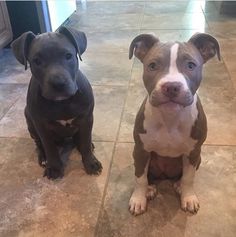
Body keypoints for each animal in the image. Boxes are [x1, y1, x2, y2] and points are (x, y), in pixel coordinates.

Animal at [128, 32, 220, 216]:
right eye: (152, 65)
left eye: (191, 65)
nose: (171, 86)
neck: (170, 117)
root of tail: (165, 174)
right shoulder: (141, 150)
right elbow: (140, 178)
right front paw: (138, 199)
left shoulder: (193, 152)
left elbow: (189, 178)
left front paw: (188, 197)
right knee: (147, 175)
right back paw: (150, 188)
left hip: (198, 158)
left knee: (183, 175)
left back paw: (178, 185)